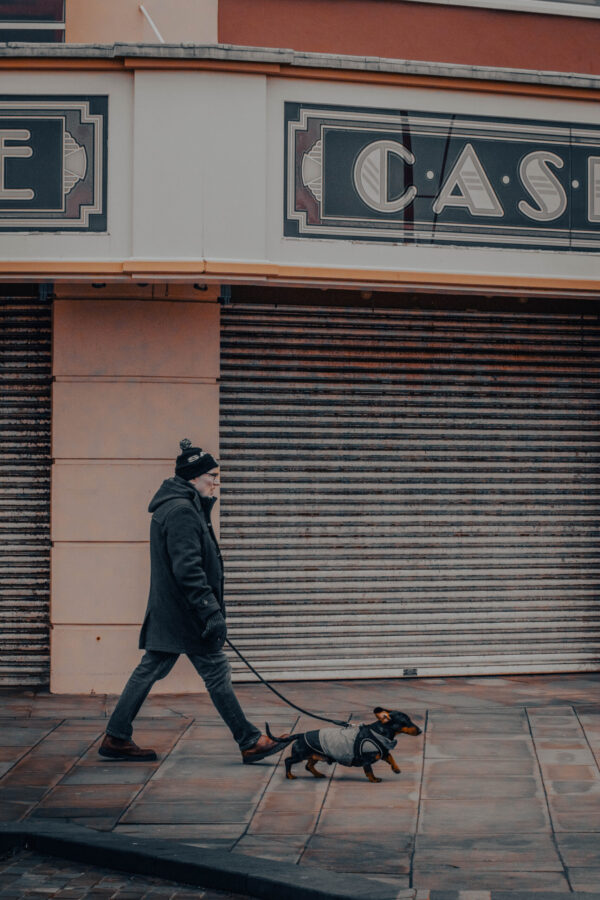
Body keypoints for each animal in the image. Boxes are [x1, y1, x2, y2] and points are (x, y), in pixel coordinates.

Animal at [267, 707, 422, 783]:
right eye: (405, 722)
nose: (420, 731)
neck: (377, 732)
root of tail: (300, 734)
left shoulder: (383, 752)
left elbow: (390, 757)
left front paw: (396, 769)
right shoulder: (366, 760)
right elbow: (369, 771)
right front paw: (374, 779)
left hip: (315, 756)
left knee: (308, 766)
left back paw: (318, 774)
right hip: (300, 755)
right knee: (288, 760)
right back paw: (290, 775)